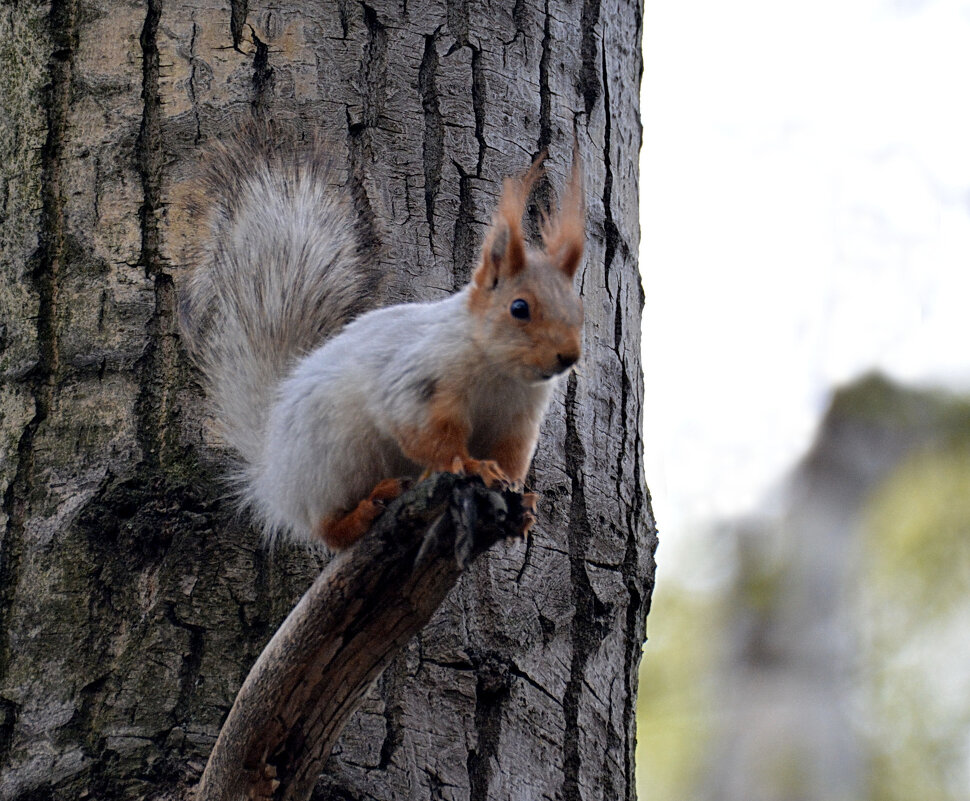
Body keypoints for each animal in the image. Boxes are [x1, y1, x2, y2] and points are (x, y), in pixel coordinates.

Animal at [181, 130, 584, 552]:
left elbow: (511, 457)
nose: (568, 356)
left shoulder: (518, 423)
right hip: (339, 458)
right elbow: (433, 440)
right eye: (519, 307)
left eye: (578, 306)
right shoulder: (415, 385)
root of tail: (274, 472)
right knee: (327, 528)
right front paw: (472, 465)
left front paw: (519, 497)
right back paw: (366, 509)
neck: (500, 372)